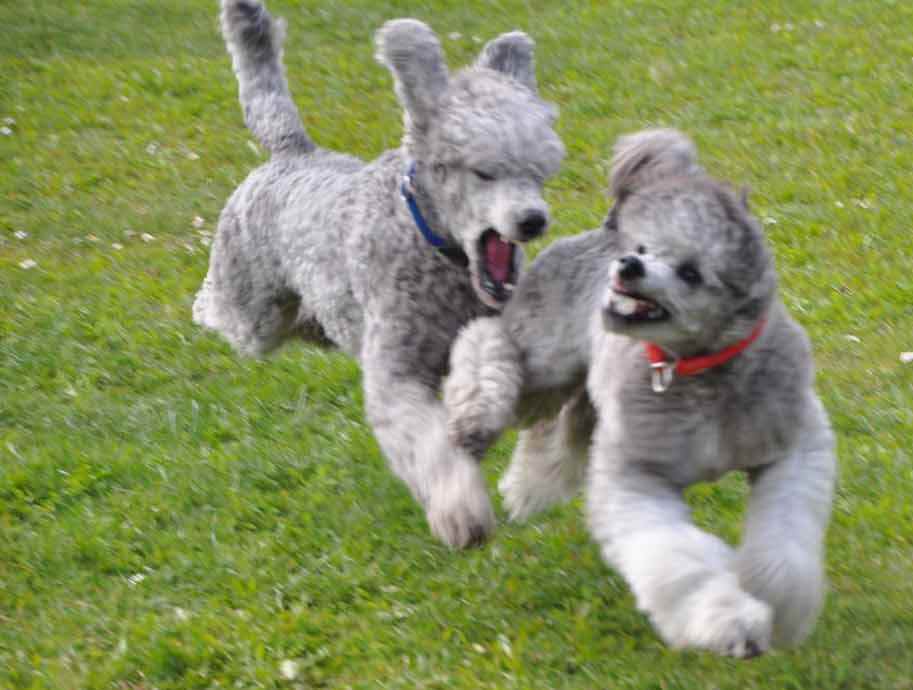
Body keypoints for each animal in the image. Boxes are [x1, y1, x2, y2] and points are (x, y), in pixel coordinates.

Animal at [192, 0, 565, 548]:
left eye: (539, 171)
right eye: (483, 172)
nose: (533, 220)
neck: (439, 258)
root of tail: (292, 150)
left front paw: (474, 422)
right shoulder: (397, 372)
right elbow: (429, 447)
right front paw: (461, 514)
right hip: (252, 311)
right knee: (218, 309)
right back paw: (207, 312)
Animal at [444, 129, 836, 656]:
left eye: (690, 271)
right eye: (647, 248)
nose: (628, 264)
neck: (698, 370)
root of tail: (609, 227)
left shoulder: (791, 448)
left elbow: (783, 546)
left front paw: (783, 611)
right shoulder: (637, 475)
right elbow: (677, 557)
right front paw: (729, 621)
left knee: (556, 430)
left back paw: (529, 487)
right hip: (541, 362)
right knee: (487, 342)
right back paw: (475, 417)